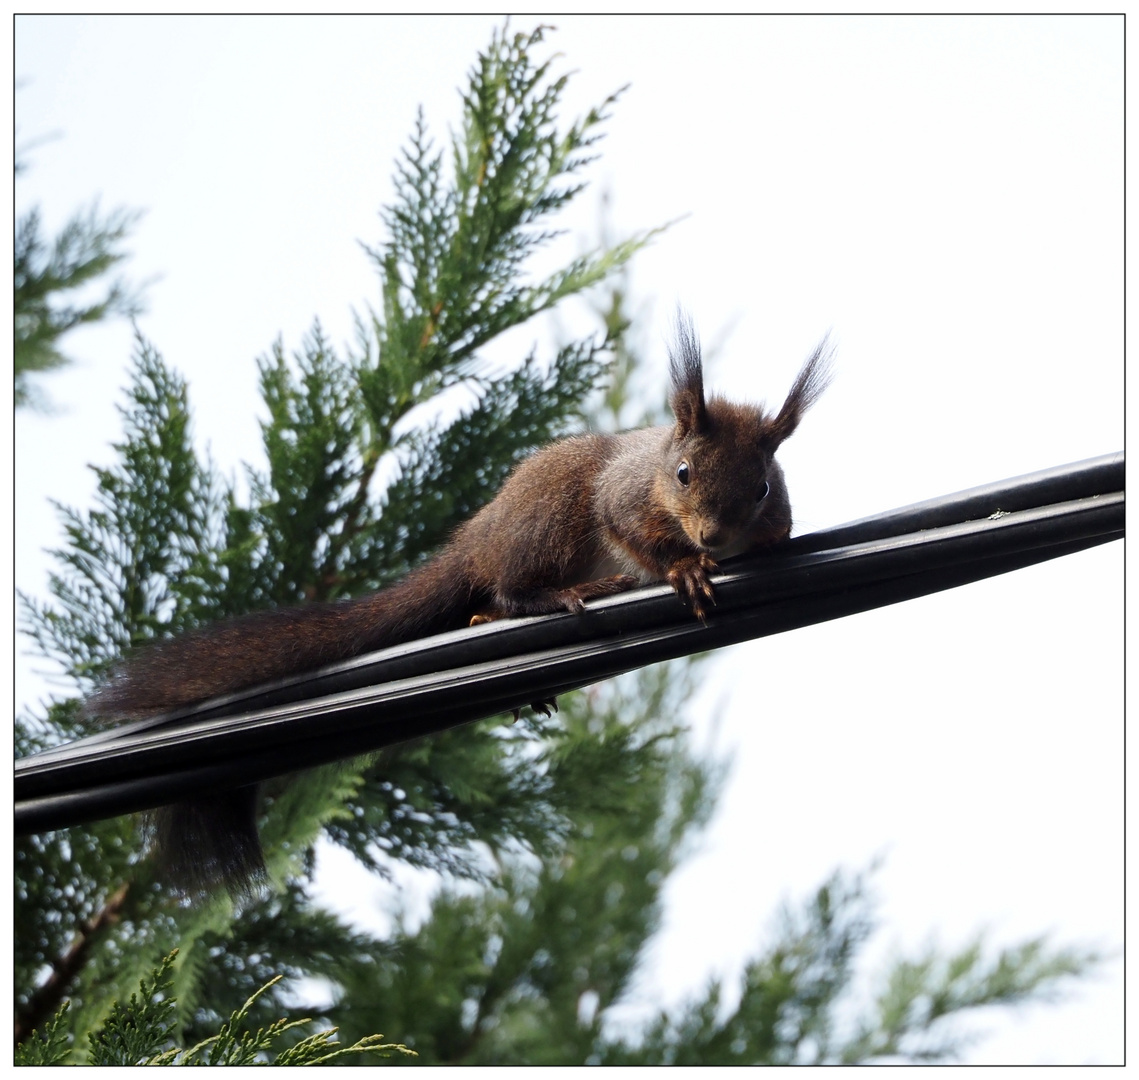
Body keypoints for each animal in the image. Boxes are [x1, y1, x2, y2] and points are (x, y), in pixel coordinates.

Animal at [88, 318, 833, 893]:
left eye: (763, 487)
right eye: (682, 474)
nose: (712, 536)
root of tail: (476, 536)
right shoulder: (620, 498)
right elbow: (632, 535)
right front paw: (682, 568)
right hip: (551, 516)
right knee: (510, 584)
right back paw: (563, 594)